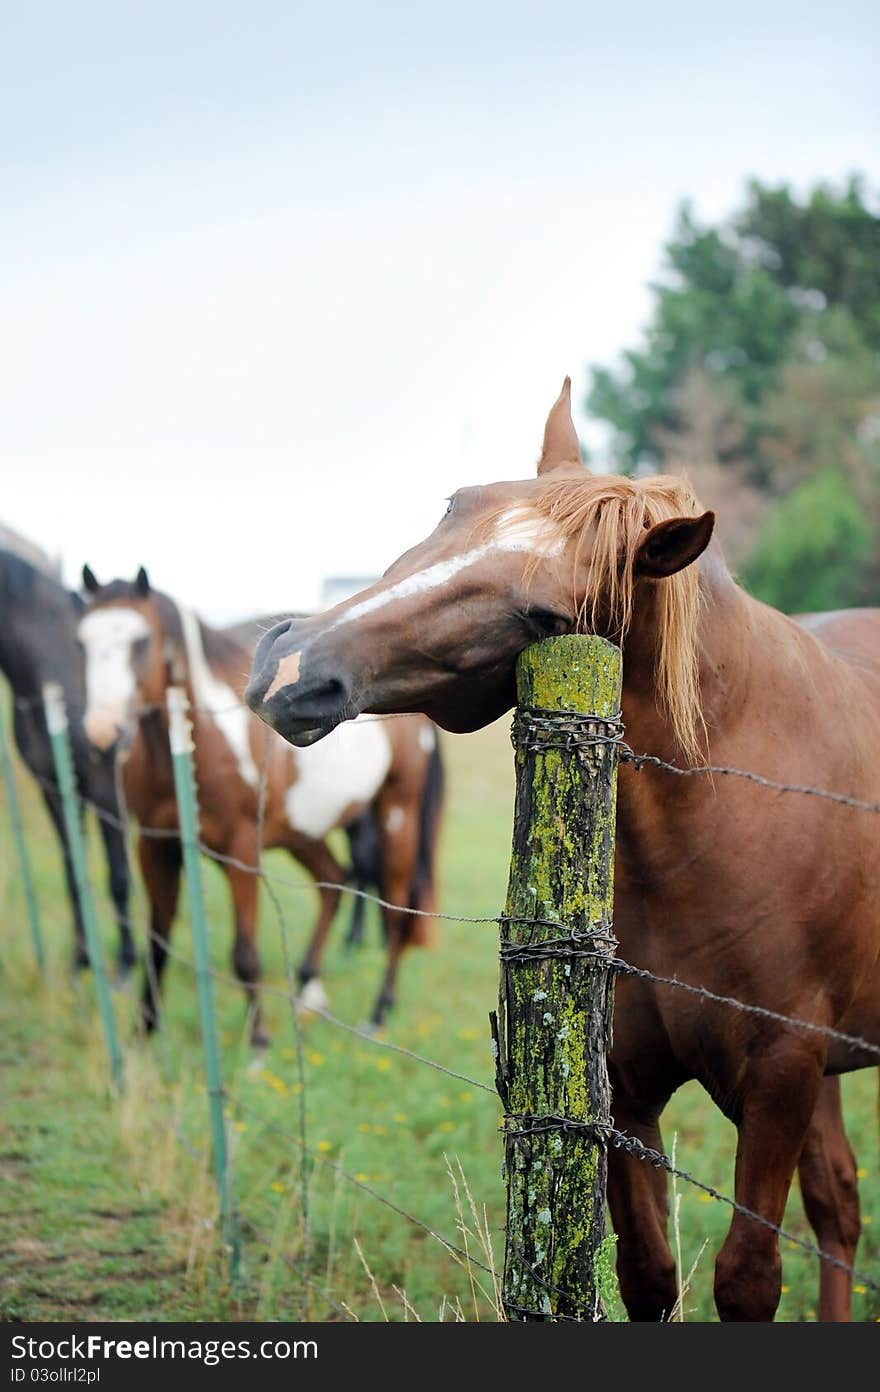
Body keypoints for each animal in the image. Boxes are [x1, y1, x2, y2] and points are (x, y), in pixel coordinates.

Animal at [0, 548, 134, 974]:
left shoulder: (106, 788)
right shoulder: (55, 790)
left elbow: (118, 877)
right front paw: (81, 959)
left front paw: (125, 964)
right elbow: (74, 873)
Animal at [78, 565, 442, 1046]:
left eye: (141, 641)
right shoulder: (155, 846)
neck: (198, 742)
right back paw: (309, 992)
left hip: (396, 814)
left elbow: (244, 953)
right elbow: (157, 940)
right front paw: (145, 1030)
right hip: (300, 832)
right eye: (83, 641)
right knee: (334, 881)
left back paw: (378, 1012)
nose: (102, 734)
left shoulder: (241, 850)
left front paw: (258, 1043)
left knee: (398, 911)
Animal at [246, 378, 880, 1314]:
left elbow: (747, 1279)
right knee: (838, 1204)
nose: (290, 670)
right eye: (456, 505)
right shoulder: (626, 1084)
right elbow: (647, 1272)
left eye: (545, 616)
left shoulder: (779, 1078)